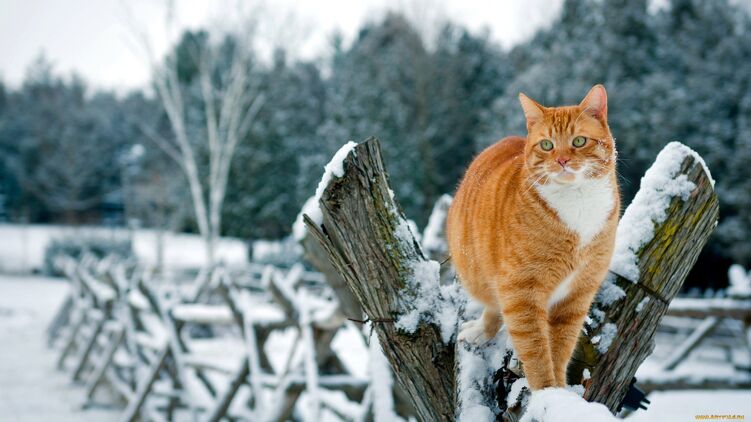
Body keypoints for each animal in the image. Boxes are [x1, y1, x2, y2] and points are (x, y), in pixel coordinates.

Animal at [446, 85, 624, 390]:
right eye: (547, 145)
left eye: (579, 141)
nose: (562, 160)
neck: (577, 200)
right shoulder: (521, 290)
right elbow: (536, 349)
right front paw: (545, 391)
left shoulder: (577, 295)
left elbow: (561, 347)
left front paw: (560, 390)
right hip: (481, 275)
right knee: (493, 306)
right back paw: (482, 330)